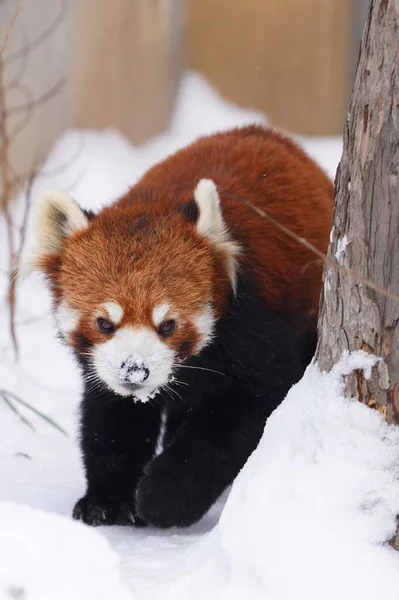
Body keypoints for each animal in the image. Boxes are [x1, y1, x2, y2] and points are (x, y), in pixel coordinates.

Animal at [32, 124, 334, 528]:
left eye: (168, 325)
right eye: (104, 323)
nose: (135, 370)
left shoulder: (255, 331)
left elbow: (237, 418)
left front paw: (160, 498)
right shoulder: (103, 367)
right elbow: (113, 418)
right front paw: (107, 500)